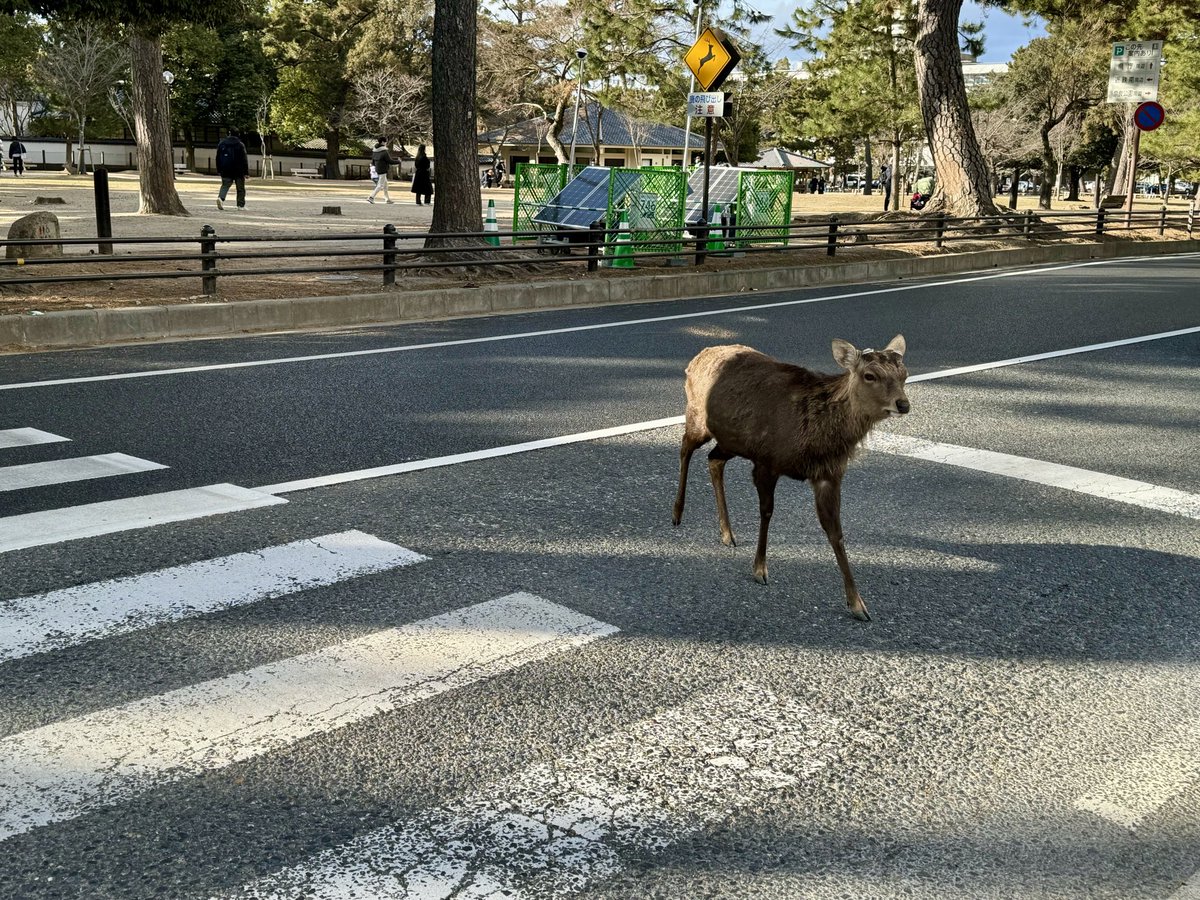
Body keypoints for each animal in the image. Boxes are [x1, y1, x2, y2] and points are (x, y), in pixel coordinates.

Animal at [671, 336, 910, 622]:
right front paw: (760, 569)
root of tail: (697, 357)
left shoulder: (829, 474)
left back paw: (727, 533)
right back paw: (677, 513)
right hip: (698, 417)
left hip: (731, 440)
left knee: (713, 459)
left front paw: (858, 604)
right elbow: (766, 512)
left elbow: (836, 532)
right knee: (685, 448)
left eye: (904, 374)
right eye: (870, 375)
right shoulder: (766, 460)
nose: (903, 404)